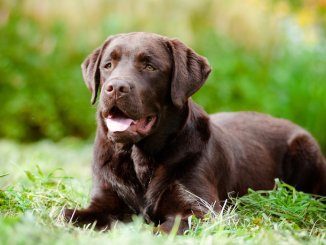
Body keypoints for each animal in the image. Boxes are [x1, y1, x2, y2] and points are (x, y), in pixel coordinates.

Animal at [62, 31, 324, 233]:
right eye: (108, 65)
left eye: (149, 66)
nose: (115, 87)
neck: (140, 160)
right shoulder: (102, 199)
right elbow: (66, 215)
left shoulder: (203, 210)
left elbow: (159, 229)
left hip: (305, 150)